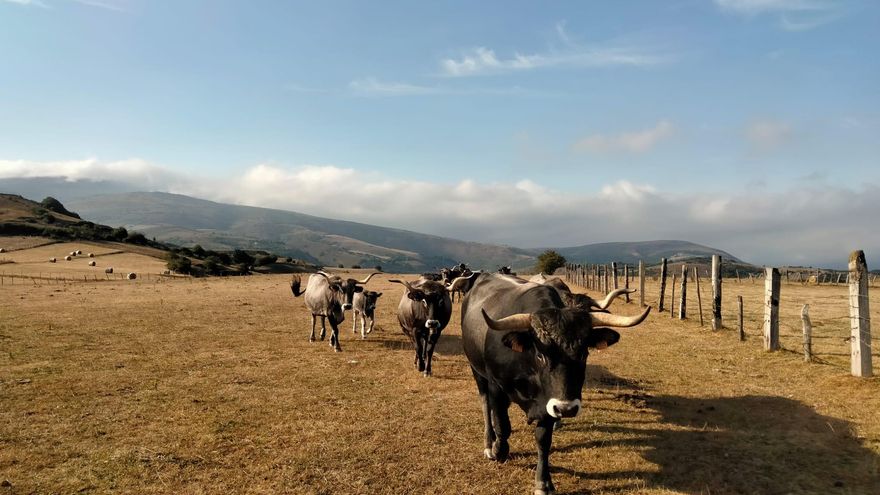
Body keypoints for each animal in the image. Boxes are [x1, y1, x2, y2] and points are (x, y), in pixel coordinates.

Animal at [461, 273, 649, 495]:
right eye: (541, 355)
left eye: (584, 353)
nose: (567, 409)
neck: (527, 364)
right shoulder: (496, 387)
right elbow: (502, 424)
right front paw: (500, 450)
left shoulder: (550, 403)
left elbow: (543, 440)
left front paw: (543, 482)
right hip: (477, 372)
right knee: (485, 406)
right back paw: (489, 443)